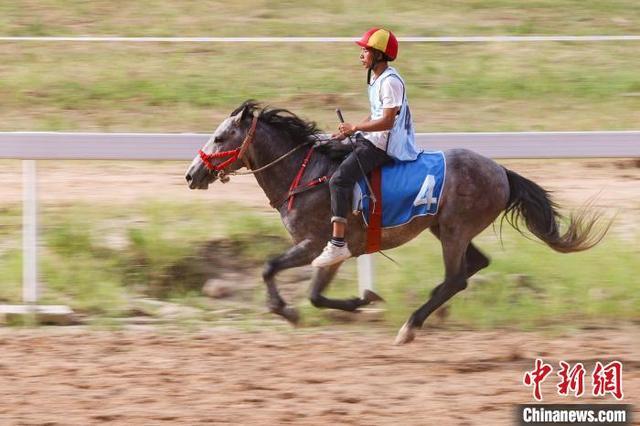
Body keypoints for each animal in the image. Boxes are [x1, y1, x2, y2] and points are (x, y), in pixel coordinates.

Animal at [184, 100, 604, 346]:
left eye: (220, 137)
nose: (191, 174)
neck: (307, 174)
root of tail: (501, 170)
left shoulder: (314, 243)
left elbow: (271, 267)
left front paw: (286, 310)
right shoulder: (331, 251)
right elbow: (315, 294)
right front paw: (361, 299)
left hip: (454, 230)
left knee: (457, 277)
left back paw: (412, 325)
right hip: (446, 228)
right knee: (474, 265)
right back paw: (433, 310)